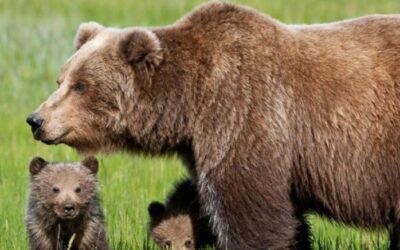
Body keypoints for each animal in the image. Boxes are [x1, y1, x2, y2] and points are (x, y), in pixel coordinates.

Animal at [27, 1, 400, 250]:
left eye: (81, 85)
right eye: (61, 79)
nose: (35, 120)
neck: (190, 102)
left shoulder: (243, 111)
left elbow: (249, 210)